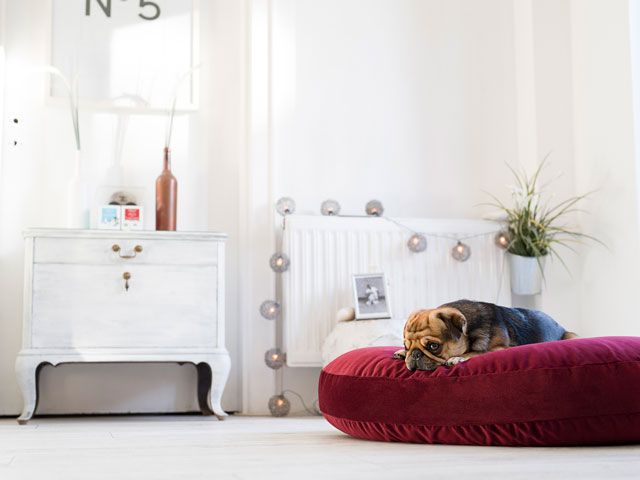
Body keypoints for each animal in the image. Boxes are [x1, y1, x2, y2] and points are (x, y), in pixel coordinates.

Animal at [392, 300, 576, 372]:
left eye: (433, 346)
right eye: (407, 346)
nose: (414, 354)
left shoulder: (499, 348)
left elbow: (478, 352)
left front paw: (457, 358)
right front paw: (401, 353)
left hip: (572, 335)